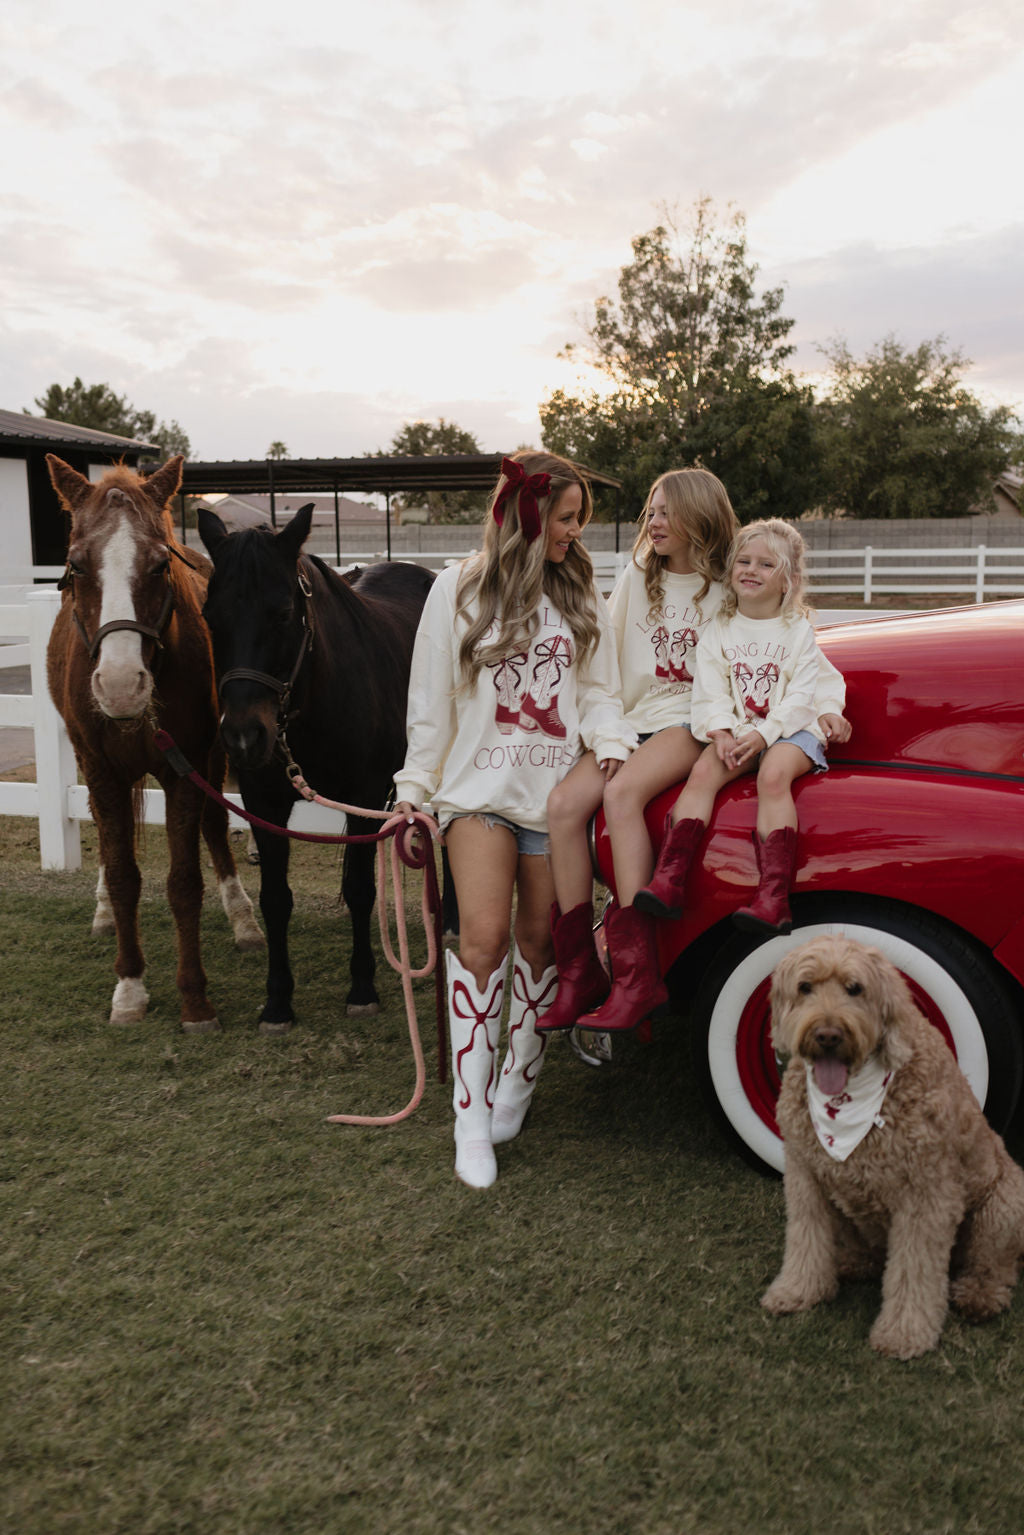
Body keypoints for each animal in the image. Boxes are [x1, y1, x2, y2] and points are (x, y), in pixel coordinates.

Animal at [47, 454, 264, 1031]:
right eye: (76, 566)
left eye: (160, 565)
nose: (122, 684)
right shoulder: (100, 770)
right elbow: (124, 873)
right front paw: (129, 988)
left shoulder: (185, 766)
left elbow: (184, 882)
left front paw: (195, 1000)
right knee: (104, 837)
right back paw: (102, 910)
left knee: (215, 826)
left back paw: (243, 920)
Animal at [199, 503, 432, 1031]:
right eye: (210, 617)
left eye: (283, 613)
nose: (243, 735)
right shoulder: (264, 802)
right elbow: (275, 898)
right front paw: (277, 1001)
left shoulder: (364, 793)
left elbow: (361, 888)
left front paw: (363, 987)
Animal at [761, 933, 1024, 1356]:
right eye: (805, 987)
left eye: (855, 988)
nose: (828, 1035)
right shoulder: (804, 1177)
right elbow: (805, 1240)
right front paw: (797, 1291)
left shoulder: (926, 1196)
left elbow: (914, 1270)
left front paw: (904, 1333)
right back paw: (852, 1262)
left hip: (1003, 1204)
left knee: (996, 1266)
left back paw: (978, 1295)